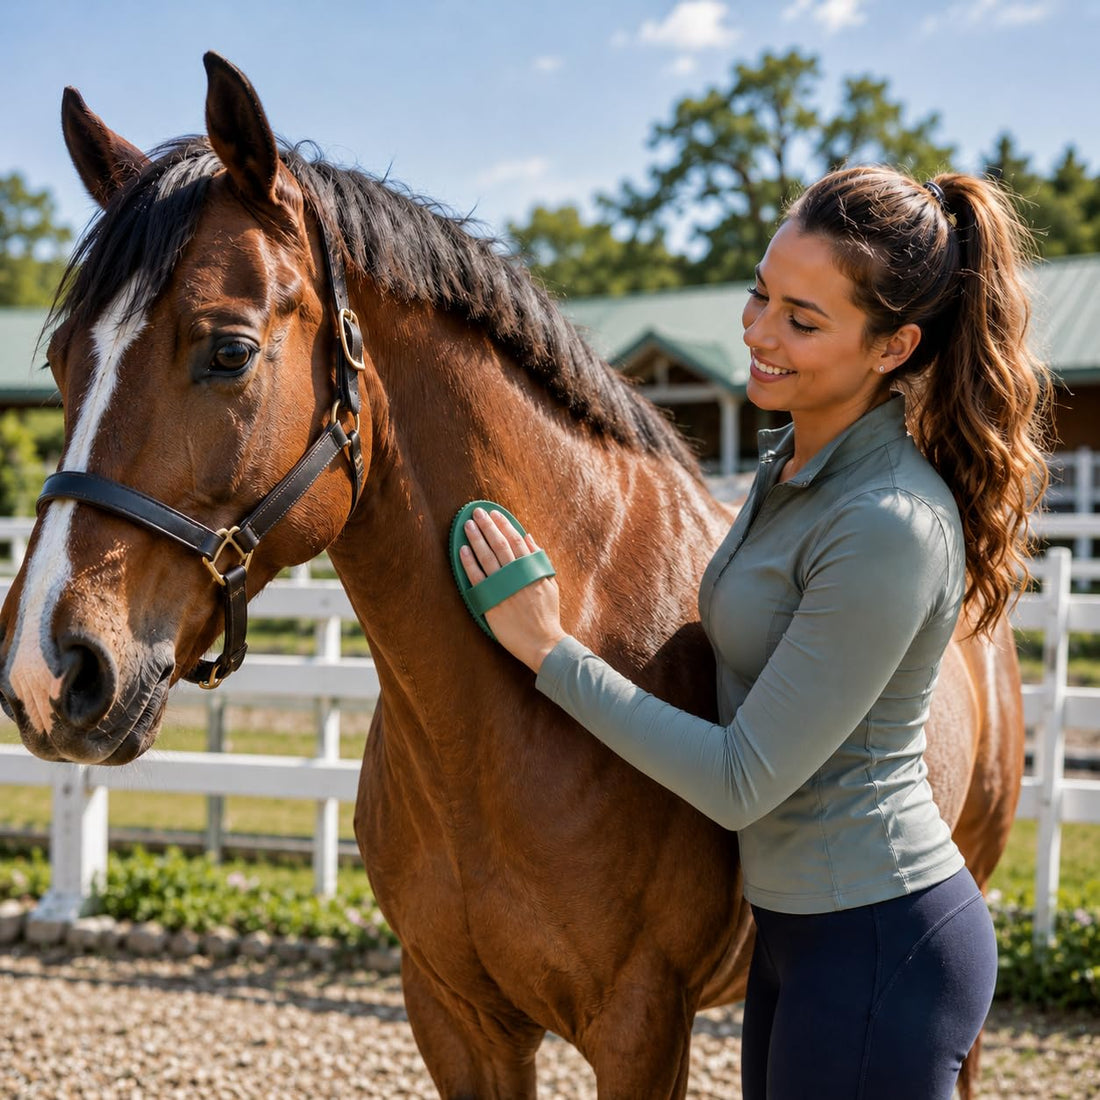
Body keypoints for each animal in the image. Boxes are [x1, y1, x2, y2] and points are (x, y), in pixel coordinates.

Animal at [0, 54, 1022, 1099]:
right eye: (62, 358)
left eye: (229, 350)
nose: (49, 671)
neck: (491, 735)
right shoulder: (454, 1017)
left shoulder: (641, 1028)